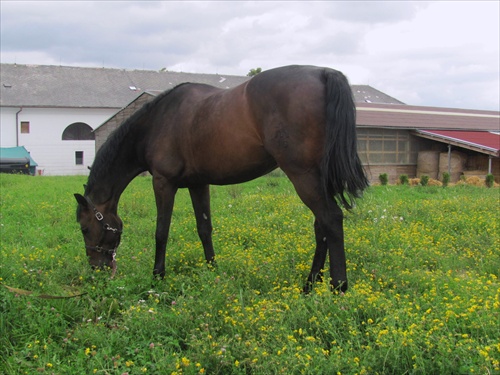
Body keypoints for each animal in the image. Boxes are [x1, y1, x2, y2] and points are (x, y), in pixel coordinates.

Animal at [76, 65, 370, 294]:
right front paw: (212, 270)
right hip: (318, 179)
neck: (157, 122)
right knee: (321, 226)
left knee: (331, 219)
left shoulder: (163, 182)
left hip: (303, 175)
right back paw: (309, 285)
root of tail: (323, 73)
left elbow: (161, 231)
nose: (97, 269)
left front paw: (157, 276)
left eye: (85, 228)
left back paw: (338, 287)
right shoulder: (198, 184)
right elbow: (204, 228)